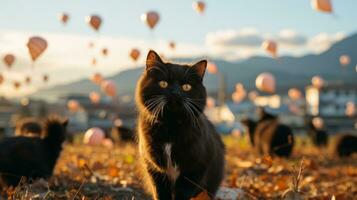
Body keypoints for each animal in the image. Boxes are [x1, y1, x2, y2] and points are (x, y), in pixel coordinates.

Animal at [135, 50, 224, 200]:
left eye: (186, 87)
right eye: (163, 83)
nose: (175, 92)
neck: (171, 125)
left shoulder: (196, 169)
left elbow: (183, 193)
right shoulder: (154, 169)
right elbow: (160, 193)